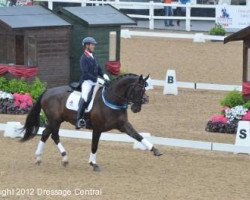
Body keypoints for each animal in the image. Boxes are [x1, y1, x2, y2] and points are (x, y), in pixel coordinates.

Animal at [21, 74, 162, 171]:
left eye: (144, 90)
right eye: (137, 89)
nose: (136, 109)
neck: (112, 99)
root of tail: (47, 91)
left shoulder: (123, 125)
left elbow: (138, 136)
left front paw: (155, 150)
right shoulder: (97, 128)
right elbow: (94, 145)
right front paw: (93, 164)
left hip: (55, 120)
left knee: (46, 134)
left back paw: (39, 158)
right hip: (55, 120)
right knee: (54, 135)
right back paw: (64, 158)